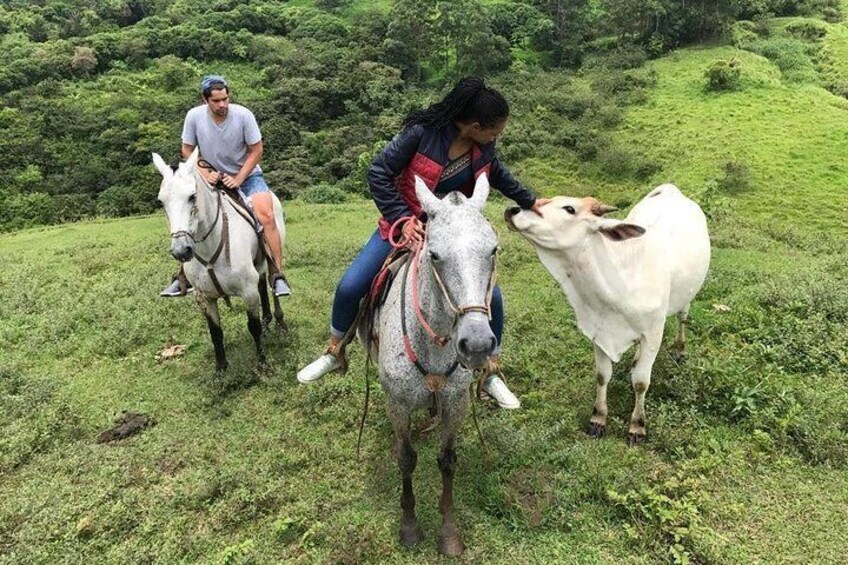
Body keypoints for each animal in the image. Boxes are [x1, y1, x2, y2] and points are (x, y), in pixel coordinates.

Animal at [152, 149, 284, 374]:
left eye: (192, 196)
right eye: (161, 201)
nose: (181, 251)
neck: (210, 247)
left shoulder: (248, 291)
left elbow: (253, 327)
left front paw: (262, 364)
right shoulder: (204, 298)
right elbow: (215, 333)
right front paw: (220, 369)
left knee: (272, 281)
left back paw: (280, 320)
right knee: (262, 281)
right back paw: (268, 320)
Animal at [362, 173, 496, 556]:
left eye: (493, 250)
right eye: (435, 255)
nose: (477, 345)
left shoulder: (456, 402)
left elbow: (447, 460)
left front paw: (449, 530)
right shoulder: (397, 402)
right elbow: (407, 459)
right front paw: (409, 526)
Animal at [506, 183, 712, 442]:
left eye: (569, 208)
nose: (512, 210)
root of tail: (671, 190)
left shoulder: (653, 333)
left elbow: (641, 382)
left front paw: (637, 425)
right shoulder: (600, 331)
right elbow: (602, 375)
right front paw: (598, 418)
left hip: (688, 294)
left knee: (682, 318)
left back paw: (679, 350)